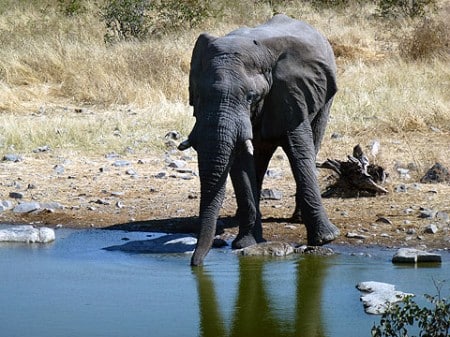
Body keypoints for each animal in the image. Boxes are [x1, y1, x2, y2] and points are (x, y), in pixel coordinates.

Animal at [178, 13, 340, 266]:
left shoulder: (290, 93)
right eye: (199, 96)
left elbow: (300, 153)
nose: (195, 264)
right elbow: (240, 163)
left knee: (314, 140)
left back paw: (298, 218)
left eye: (250, 97)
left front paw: (325, 239)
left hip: (325, 96)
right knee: (259, 158)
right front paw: (246, 244)